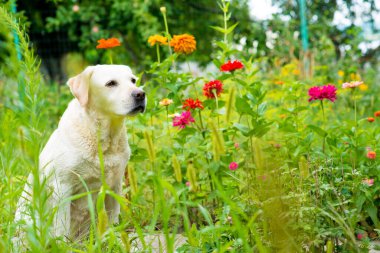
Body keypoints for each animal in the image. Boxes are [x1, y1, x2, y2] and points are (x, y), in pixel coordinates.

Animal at [14, 64, 145, 241]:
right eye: (111, 83)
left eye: (133, 80)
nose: (140, 94)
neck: (103, 140)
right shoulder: (62, 187)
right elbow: (62, 225)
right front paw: (62, 244)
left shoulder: (115, 185)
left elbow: (112, 218)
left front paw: (114, 239)